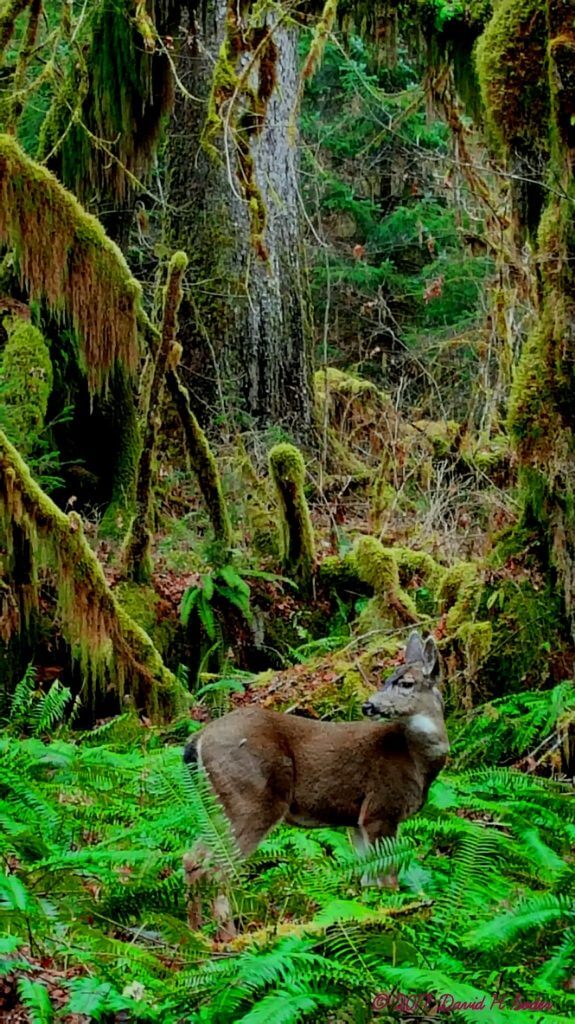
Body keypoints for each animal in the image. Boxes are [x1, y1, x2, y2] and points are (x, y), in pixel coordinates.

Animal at [182, 630, 449, 935]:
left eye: (405, 682)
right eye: (387, 679)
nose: (368, 705)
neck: (416, 758)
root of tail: (198, 739)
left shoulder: (356, 821)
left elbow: (367, 879)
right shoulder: (381, 808)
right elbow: (387, 877)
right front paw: (395, 918)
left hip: (217, 805)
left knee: (192, 859)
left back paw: (194, 932)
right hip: (251, 800)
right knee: (218, 870)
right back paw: (228, 937)